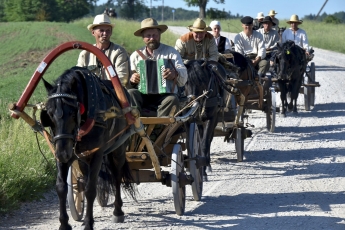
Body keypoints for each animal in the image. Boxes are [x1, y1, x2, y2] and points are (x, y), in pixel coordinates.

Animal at [41, 66, 135, 228]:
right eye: (49, 114)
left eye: (73, 112)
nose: (63, 153)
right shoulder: (62, 153)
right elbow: (61, 187)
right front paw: (64, 224)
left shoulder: (97, 154)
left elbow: (91, 189)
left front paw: (89, 223)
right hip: (82, 158)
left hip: (118, 149)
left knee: (117, 176)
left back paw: (118, 211)